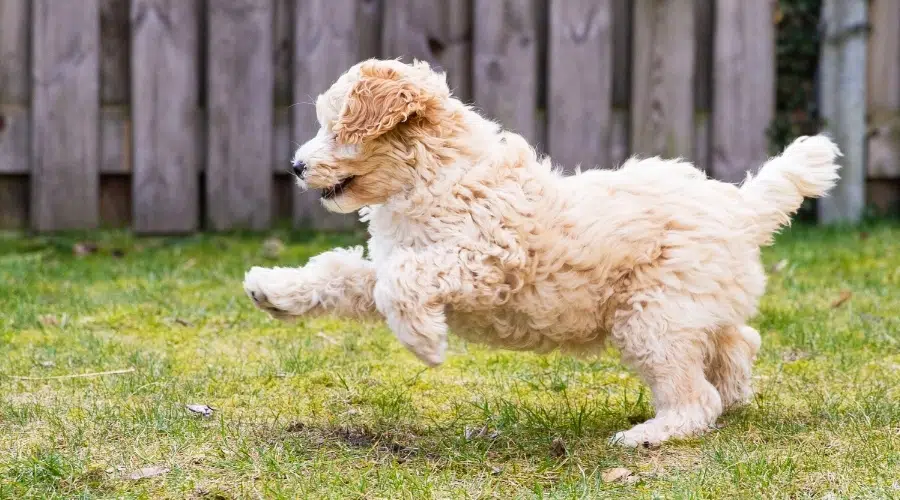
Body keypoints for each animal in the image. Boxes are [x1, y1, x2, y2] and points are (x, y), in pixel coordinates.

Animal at [243, 59, 840, 450]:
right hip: (692, 305)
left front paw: (425, 342)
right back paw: (734, 392)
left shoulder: (482, 260)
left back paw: (649, 434)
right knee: (739, 341)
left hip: (653, 317)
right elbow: (342, 272)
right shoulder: (396, 260)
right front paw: (273, 289)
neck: (436, 175)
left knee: (696, 397)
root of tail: (740, 208)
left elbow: (404, 280)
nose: (295, 166)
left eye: (334, 126)